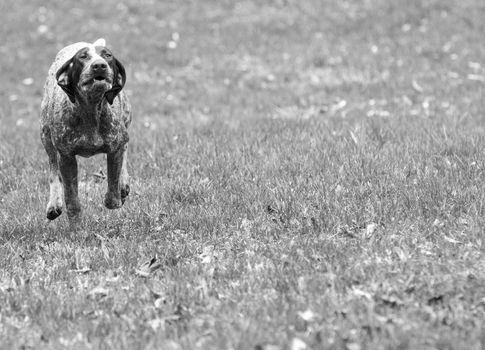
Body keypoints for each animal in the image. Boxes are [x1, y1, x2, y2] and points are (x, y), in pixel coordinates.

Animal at [40, 38, 130, 224]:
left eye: (107, 55)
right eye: (82, 57)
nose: (99, 65)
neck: (91, 109)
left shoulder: (115, 148)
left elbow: (113, 188)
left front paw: (116, 194)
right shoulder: (66, 157)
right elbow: (71, 197)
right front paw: (75, 223)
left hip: (126, 120)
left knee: (126, 146)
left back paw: (124, 185)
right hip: (45, 134)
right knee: (53, 169)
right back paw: (54, 204)